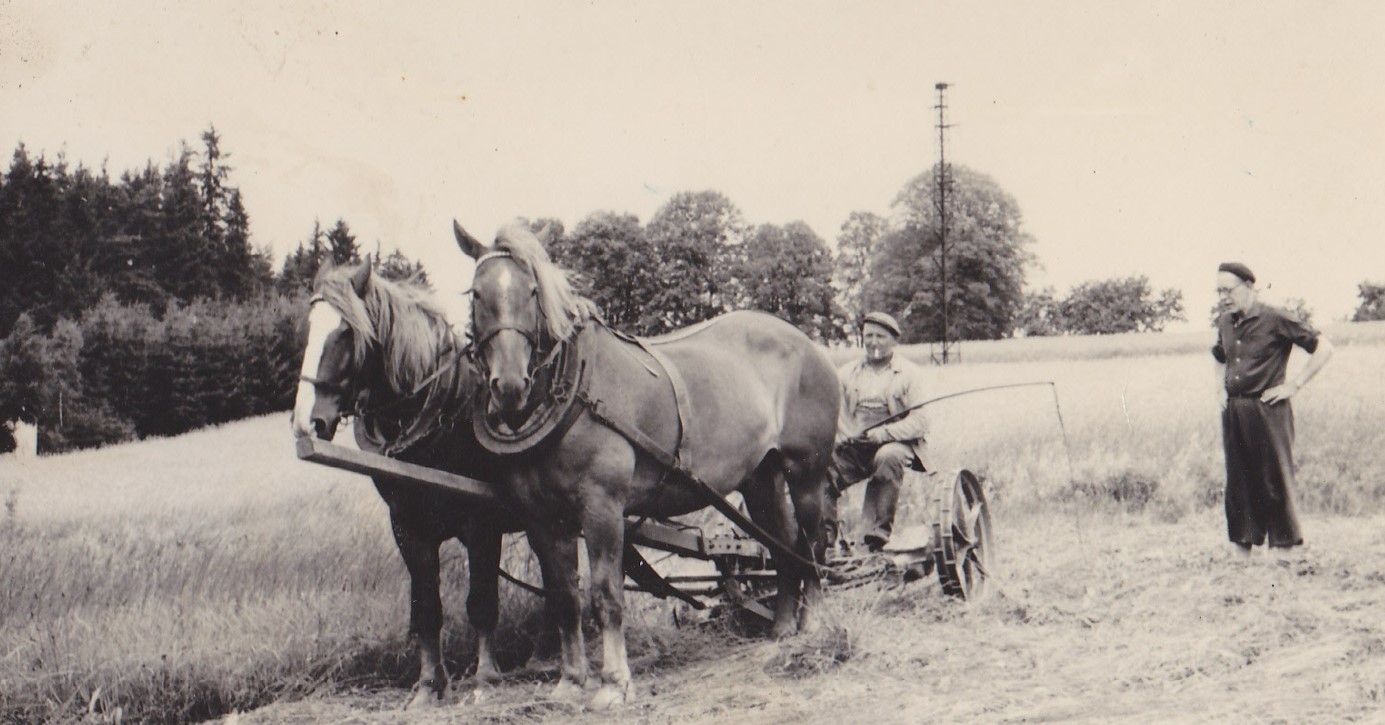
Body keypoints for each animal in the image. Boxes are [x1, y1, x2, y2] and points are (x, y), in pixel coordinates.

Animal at [286, 261, 520, 709]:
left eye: (346, 332)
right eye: (308, 327)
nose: (306, 423)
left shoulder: (481, 522)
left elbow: (481, 600)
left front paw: (485, 677)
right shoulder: (407, 526)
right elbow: (426, 607)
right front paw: (429, 685)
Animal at [457, 221, 842, 709]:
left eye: (531, 291)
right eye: (476, 294)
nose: (509, 386)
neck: (578, 389)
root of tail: (812, 347)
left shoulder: (602, 506)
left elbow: (605, 594)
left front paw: (614, 682)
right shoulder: (540, 516)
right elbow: (564, 597)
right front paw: (571, 680)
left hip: (806, 471)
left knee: (811, 543)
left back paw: (812, 624)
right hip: (761, 477)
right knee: (781, 542)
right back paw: (781, 628)